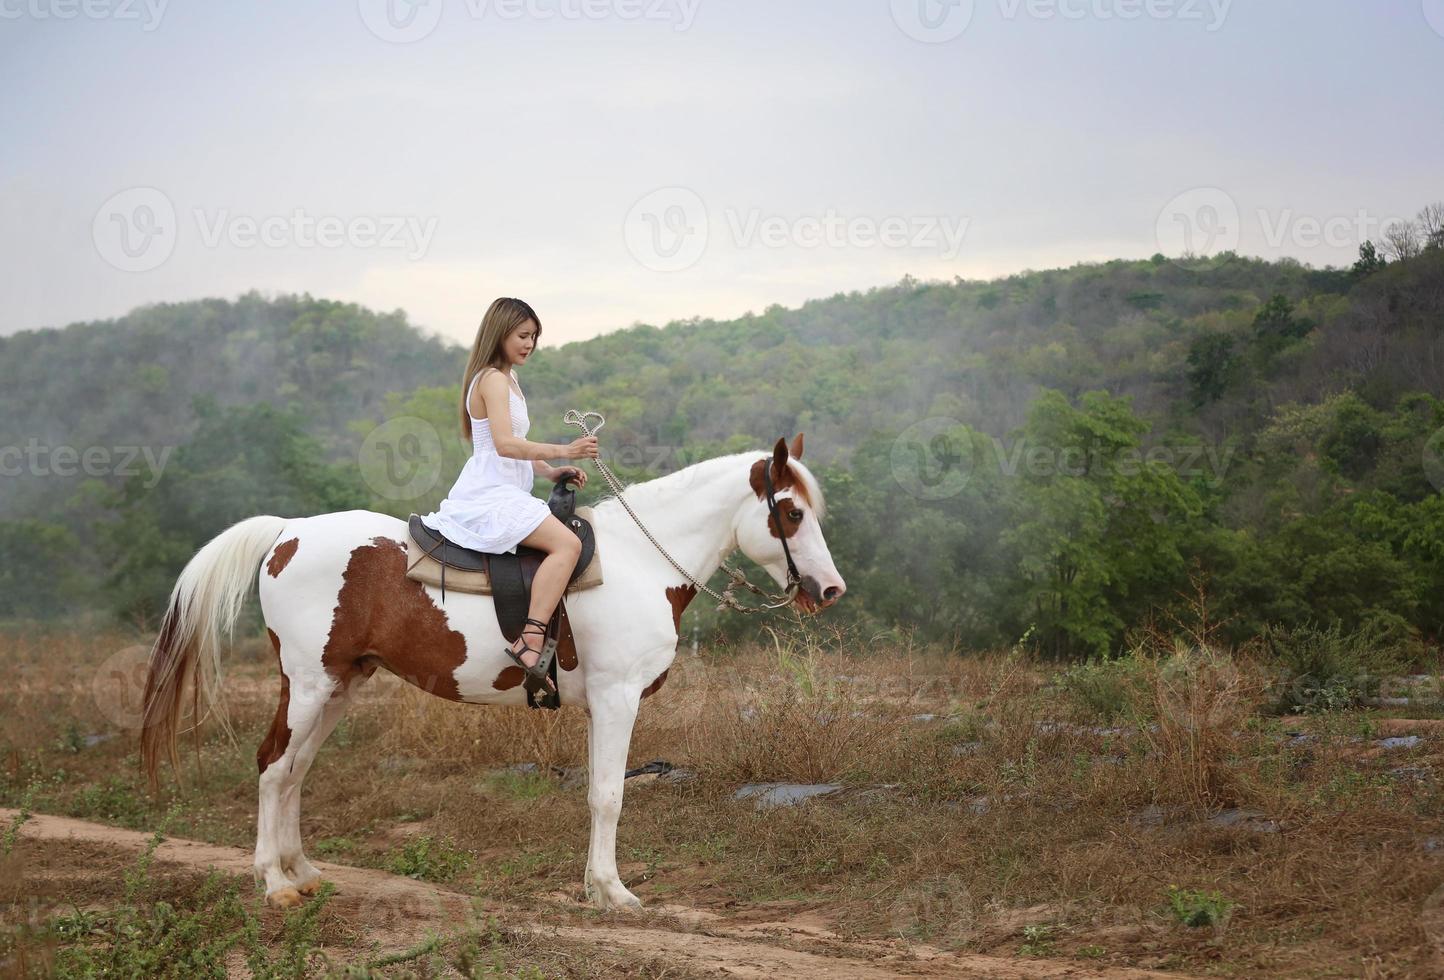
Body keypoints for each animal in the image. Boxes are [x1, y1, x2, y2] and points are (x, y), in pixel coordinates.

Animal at [139, 435, 843, 912]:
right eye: (791, 513)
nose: (829, 590)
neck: (639, 561)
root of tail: (288, 533)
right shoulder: (618, 699)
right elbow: (608, 796)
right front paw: (613, 892)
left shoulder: (602, 706)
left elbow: (598, 794)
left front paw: (595, 887)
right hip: (310, 686)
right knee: (271, 765)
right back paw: (275, 883)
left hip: (339, 685)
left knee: (295, 770)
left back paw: (303, 872)